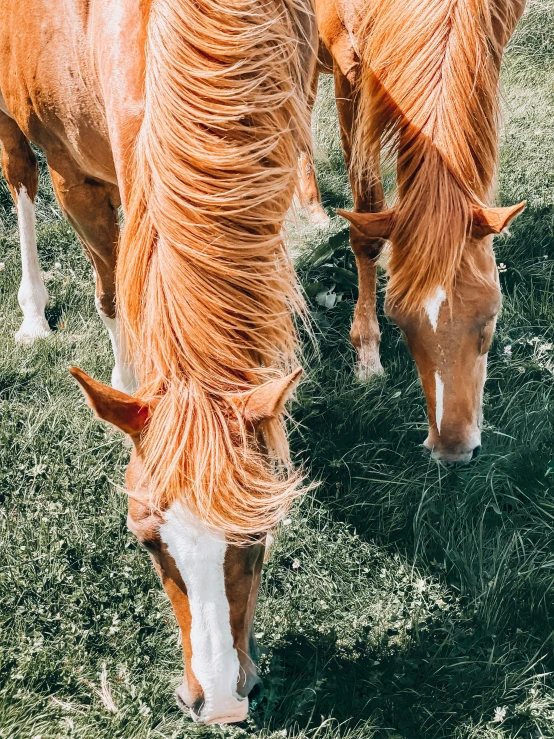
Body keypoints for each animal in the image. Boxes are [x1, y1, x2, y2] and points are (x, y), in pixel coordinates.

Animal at [0, 0, 314, 724]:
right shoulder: (74, 176)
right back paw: (33, 313)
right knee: (20, 180)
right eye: (144, 539)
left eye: (260, 535)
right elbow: (114, 292)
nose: (221, 702)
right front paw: (126, 385)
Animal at [302, 0, 528, 462]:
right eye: (400, 325)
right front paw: (367, 353)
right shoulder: (350, 70)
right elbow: (368, 224)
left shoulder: (492, 44)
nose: (454, 451)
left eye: (489, 322)